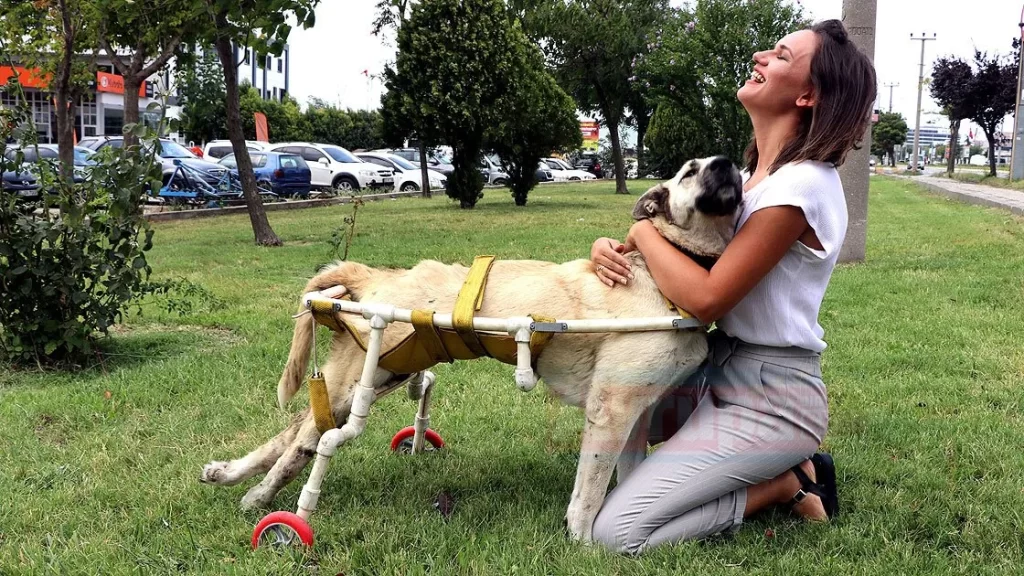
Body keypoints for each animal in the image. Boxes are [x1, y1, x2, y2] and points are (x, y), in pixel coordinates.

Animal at [201, 154, 745, 541]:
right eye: (690, 170)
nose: (727, 163)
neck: (664, 271)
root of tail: (372, 273)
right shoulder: (610, 411)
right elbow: (589, 494)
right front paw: (584, 544)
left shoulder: (636, 411)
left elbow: (626, 480)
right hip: (360, 378)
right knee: (305, 441)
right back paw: (267, 502)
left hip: (378, 372)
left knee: (296, 431)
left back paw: (231, 477)